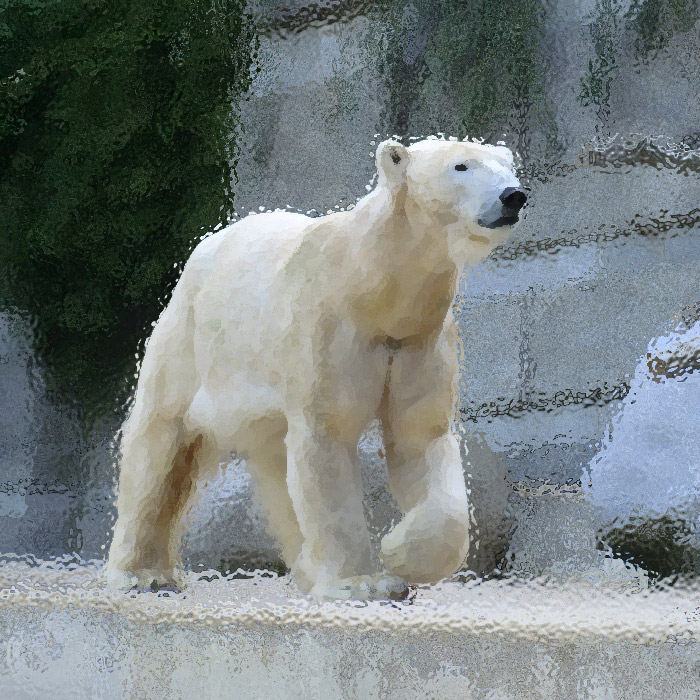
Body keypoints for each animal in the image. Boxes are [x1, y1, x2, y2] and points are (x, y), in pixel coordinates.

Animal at [106, 138, 524, 600]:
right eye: (461, 166)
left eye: (509, 166)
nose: (514, 196)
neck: (372, 288)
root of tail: (201, 251)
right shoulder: (329, 329)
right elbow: (328, 437)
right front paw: (361, 582)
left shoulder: (419, 342)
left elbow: (421, 435)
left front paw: (398, 552)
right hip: (191, 342)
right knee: (162, 438)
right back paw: (143, 574)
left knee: (275, 462)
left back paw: (305, 570)